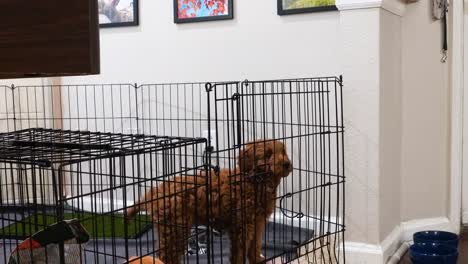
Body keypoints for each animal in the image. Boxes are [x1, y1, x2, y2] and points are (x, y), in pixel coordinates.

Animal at [126, 139, 290, 262]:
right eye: (268, 155)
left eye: (283, 152)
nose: (287, 164)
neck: (255, 181)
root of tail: (157, 190)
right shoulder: (241, 225)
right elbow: (239, 252)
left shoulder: (258, 222)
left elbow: (255, 246)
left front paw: (258, 259)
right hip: (175, 228)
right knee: (166, 255)